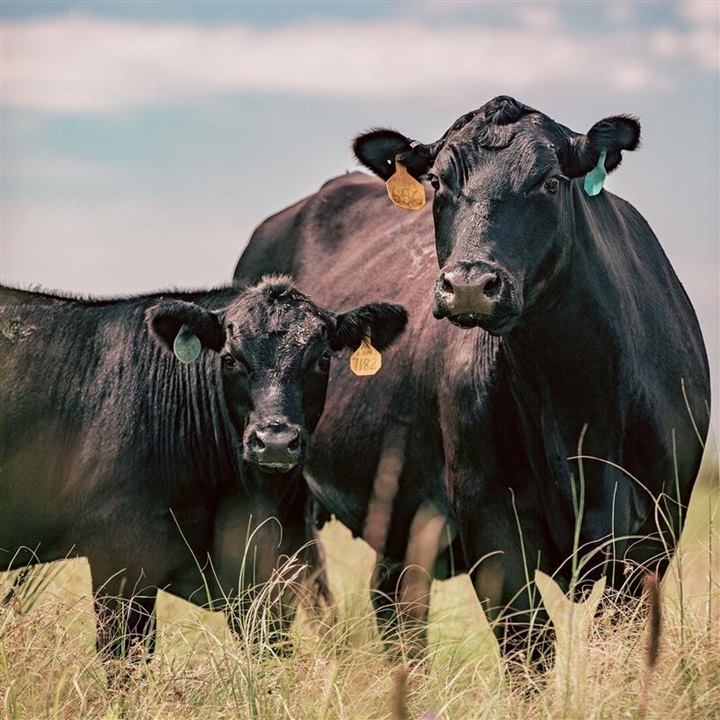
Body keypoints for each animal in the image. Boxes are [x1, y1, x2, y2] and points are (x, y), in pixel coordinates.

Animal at [0, 278, 404, 676]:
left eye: (321, 359)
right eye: (229, 359)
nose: (275, 441)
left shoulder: (271, 573)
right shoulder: (119, 555)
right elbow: (124, 658)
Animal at [236, 98, 708, 660]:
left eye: (550, 181)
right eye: (438, 182)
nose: (467, 285)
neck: (576, 410)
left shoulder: (654, 530)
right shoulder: (489, 520)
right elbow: (530, 650)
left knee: (389, 605)